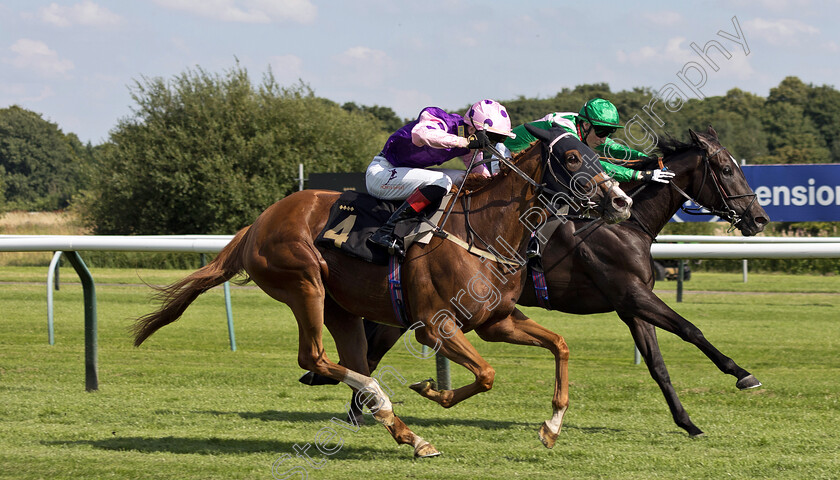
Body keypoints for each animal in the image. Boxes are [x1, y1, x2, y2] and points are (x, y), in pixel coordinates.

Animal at [130, 125, 632, 460]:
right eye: (572, 159)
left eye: (595, 154)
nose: (622, 201)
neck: (485, 230)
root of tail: (257, 223)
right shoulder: (435, 326)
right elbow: (487, 374)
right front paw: (431, 389)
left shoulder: (496, 321)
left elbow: (560, 345)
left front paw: (551, 427)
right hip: (303, 282)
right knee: (316, 358)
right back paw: (386, 403)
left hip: (342, 308)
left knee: (350, 359)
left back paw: (411, 435)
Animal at [316, 125, 768, 440]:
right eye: (726, 169)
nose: (759, 219)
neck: (625, 225)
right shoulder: (632, 294)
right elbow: (691, 329)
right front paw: (743, 374)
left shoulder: (630, 305)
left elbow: (658, 365)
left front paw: (688, 422)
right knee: (373, 349)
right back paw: (360, 410)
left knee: (373, 346)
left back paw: (360, 409)